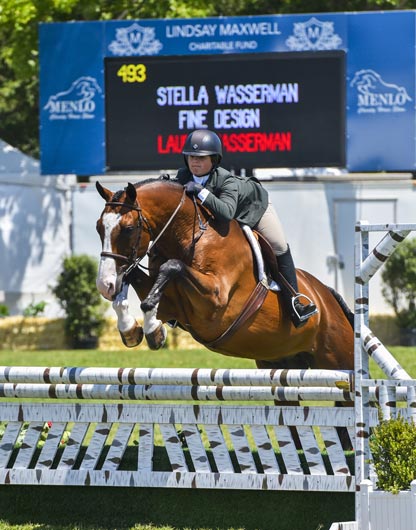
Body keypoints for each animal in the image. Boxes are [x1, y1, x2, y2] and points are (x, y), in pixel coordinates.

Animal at [95, 177, 354, 372]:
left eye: (128, 229)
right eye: (99, 227)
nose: (104, 285)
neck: (190, 234)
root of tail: (327, 295)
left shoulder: (214, 301)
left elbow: (172, 267)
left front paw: (151, 329)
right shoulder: (171, 304)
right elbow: (134, 281)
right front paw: (132, 329)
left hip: (340, 359)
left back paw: (301, 307)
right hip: (280, 363)